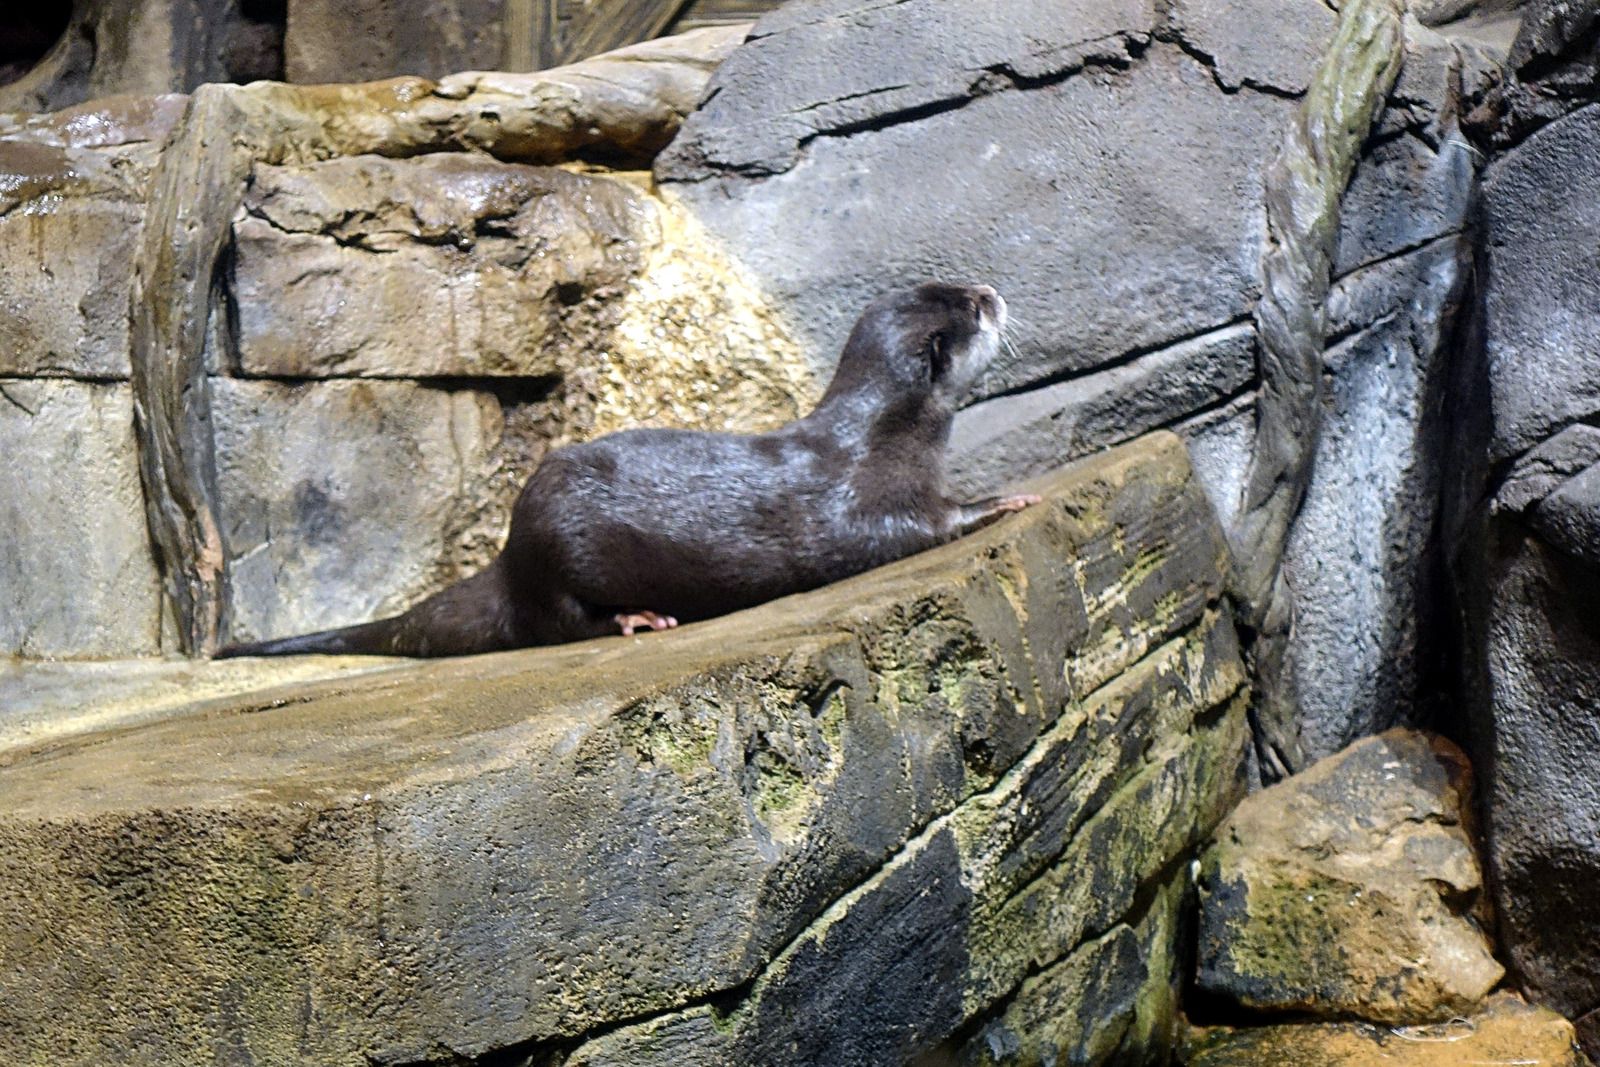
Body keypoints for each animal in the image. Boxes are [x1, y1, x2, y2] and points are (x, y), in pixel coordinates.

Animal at [219, 279, 1036, 655]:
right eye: (971, 309)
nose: (995, 291)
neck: (883, 432)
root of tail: (507, 556)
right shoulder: (856, 498)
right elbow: (905, 528)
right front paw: (997, 501)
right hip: (556, 545)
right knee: (557, 624)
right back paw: (638, 617)